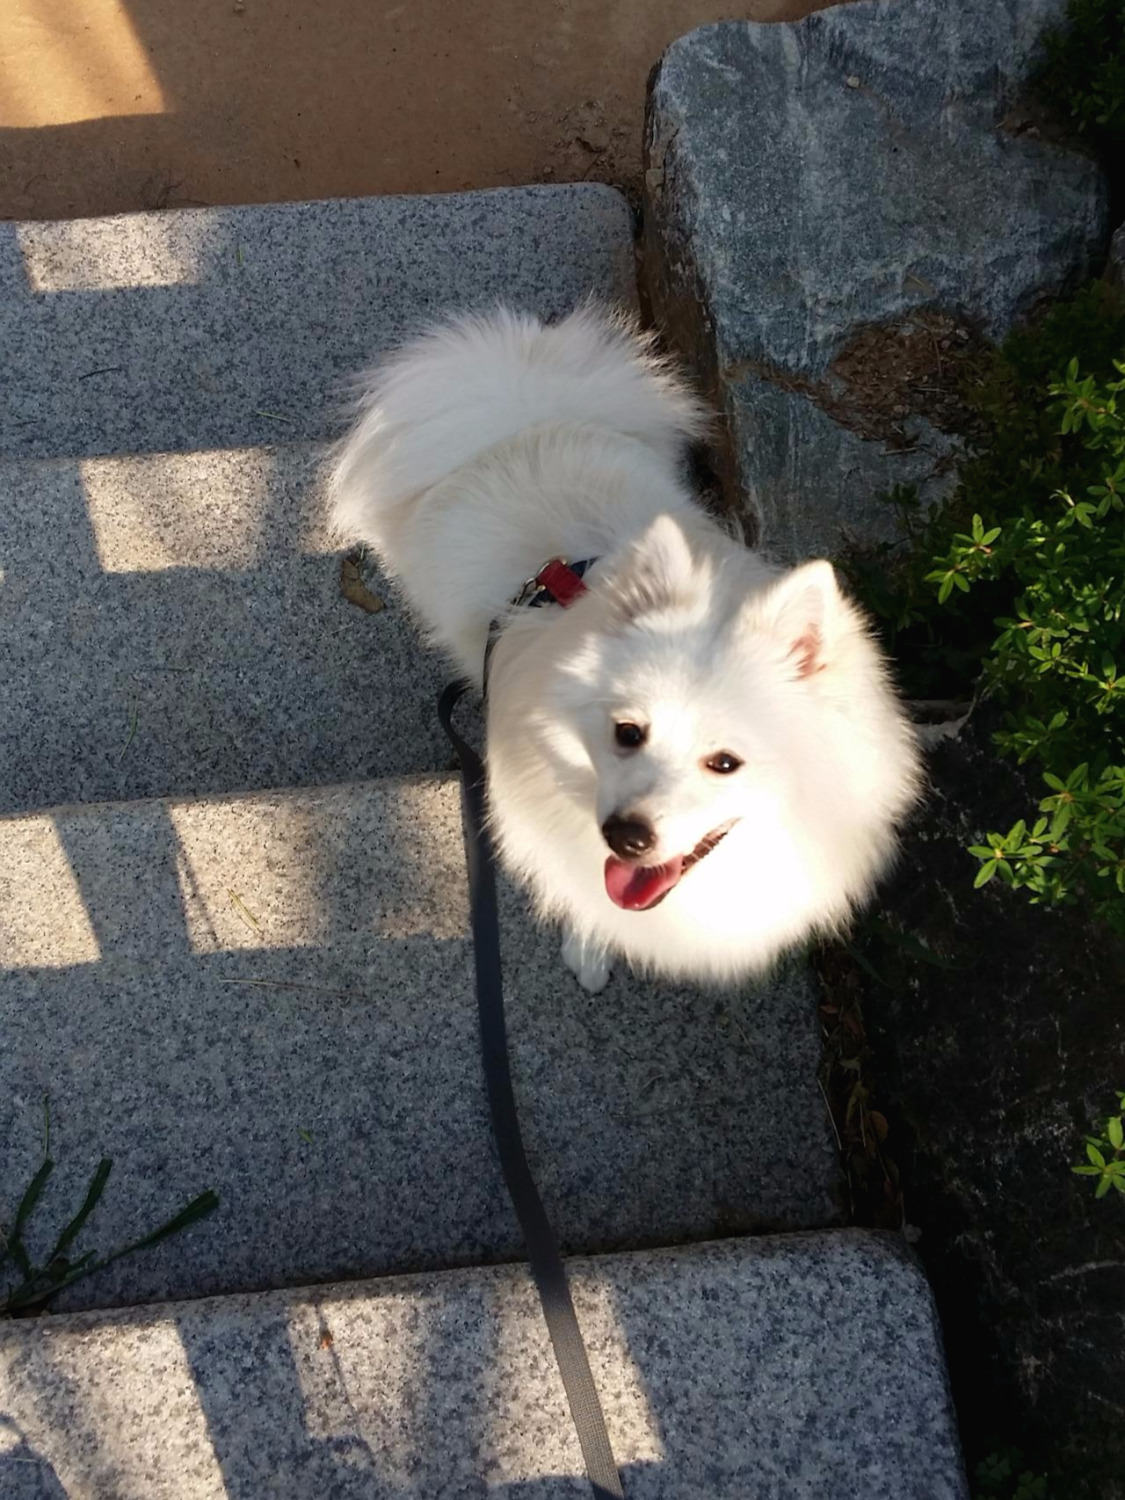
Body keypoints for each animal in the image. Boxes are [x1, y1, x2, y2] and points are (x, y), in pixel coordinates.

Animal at [329, 306, 920, 992]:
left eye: (725, 763)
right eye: (627, 733)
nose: (625, 836)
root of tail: (527, 418)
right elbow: (589, 901)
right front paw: (589, 949)